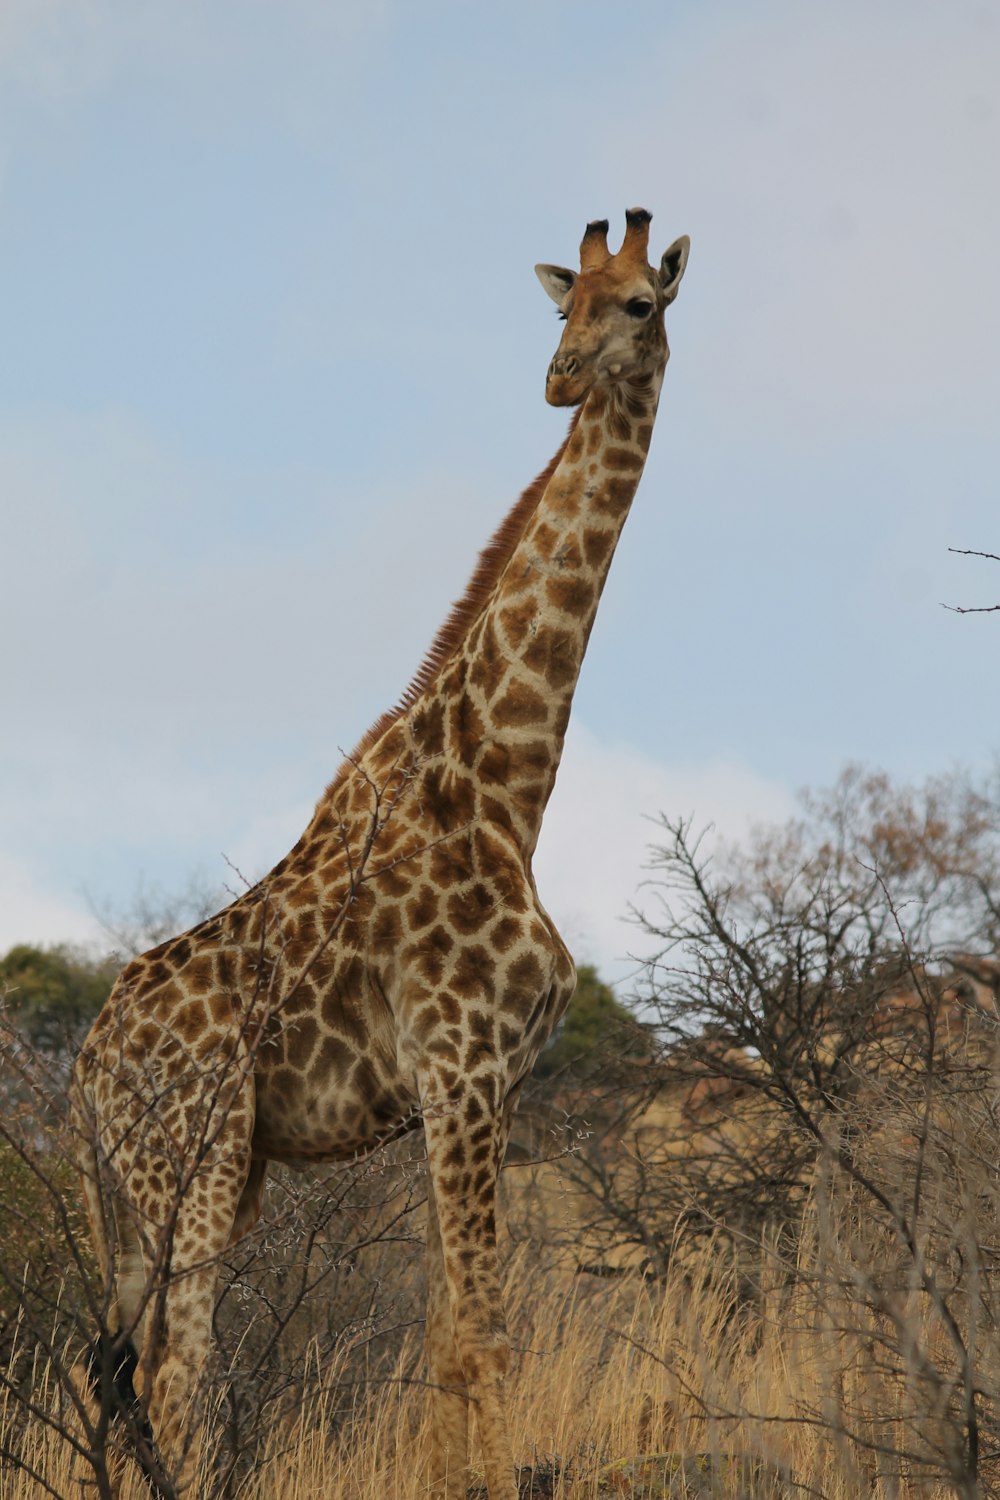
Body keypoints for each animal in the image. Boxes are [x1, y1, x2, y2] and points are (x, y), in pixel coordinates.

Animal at [70, 205, 689, 1494]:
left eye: (637, 304)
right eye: (562, 305)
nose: (559, 379)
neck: (509, 786)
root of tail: (84, 1070)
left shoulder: (493, 1081)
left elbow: (455, 1334)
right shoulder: (460, 1068)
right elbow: (482, 1334)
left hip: (178, 1183)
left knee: (119, 1366)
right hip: (195, 1168)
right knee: (179, 1370)